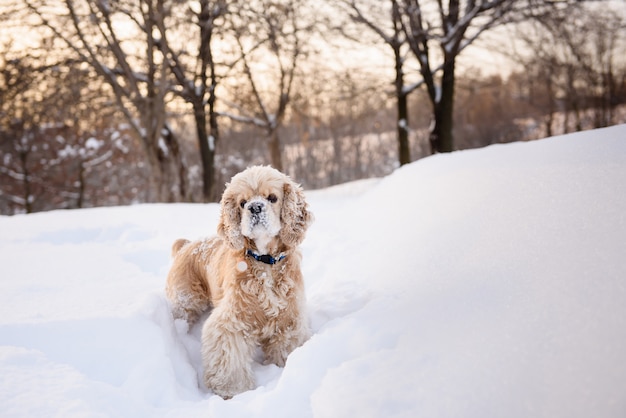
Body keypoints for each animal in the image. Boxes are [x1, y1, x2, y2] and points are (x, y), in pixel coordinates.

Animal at [165, 165, 312, 396]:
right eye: (242, 203)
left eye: (272, 198)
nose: (255, 207)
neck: (265, 262)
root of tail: (187, 244)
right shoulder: (231, 321)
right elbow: (229, 358)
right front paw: (232, 390)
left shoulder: (289, 320)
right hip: (186, 301)